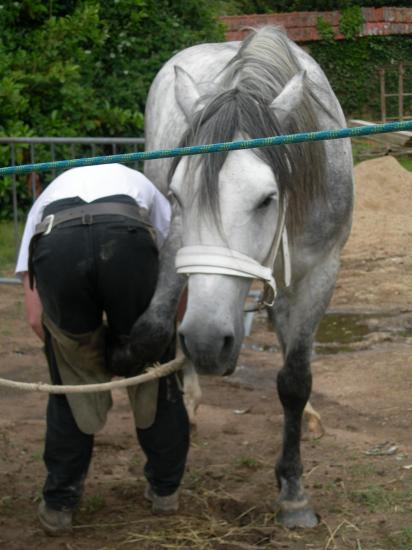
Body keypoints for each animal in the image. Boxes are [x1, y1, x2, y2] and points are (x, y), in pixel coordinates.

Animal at [130, 28, 352, 528]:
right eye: (178, 194)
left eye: (267, 198)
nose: (209, 343)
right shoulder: (179, 247)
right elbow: (154, 330)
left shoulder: (320, 271)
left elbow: (294, 378)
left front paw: (293, 492)